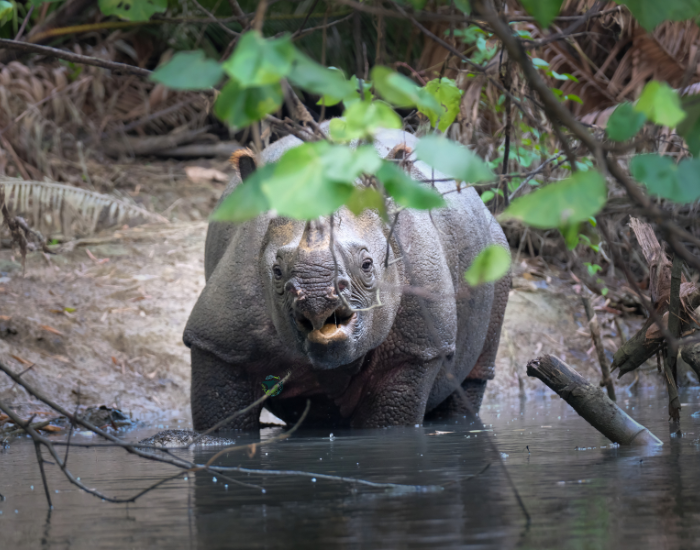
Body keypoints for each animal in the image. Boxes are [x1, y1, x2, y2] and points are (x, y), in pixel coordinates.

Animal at [183, 125, 510, 430]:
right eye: (276, 271)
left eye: (366, 265)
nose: (317, 295)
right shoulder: (218, 342)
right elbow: (221, 422)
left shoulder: (419, 348)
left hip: (495, 246)